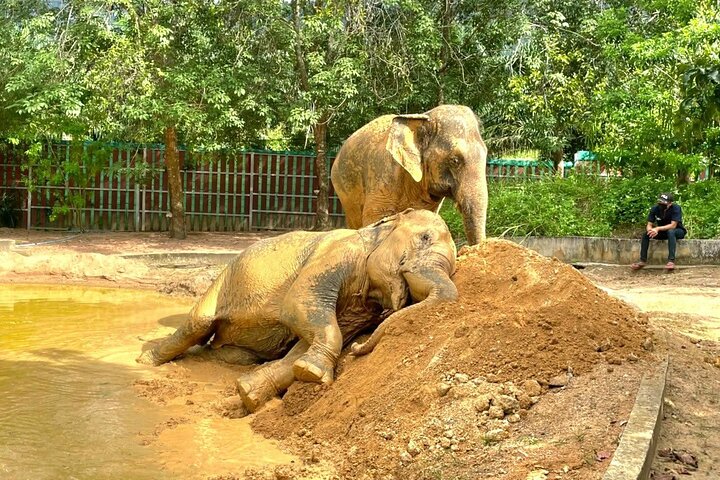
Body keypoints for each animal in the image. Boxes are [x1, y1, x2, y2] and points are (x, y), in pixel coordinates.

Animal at [137, 209, 458, 414]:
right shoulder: (338, 255)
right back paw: (145, 360)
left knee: (228, 352)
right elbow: (297, 304)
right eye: (425, 238)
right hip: (220, 284)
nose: (358, 349)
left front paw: (252, 393)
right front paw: (312, 373)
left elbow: (304, 344)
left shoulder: (360, 308)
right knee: (196, 325)